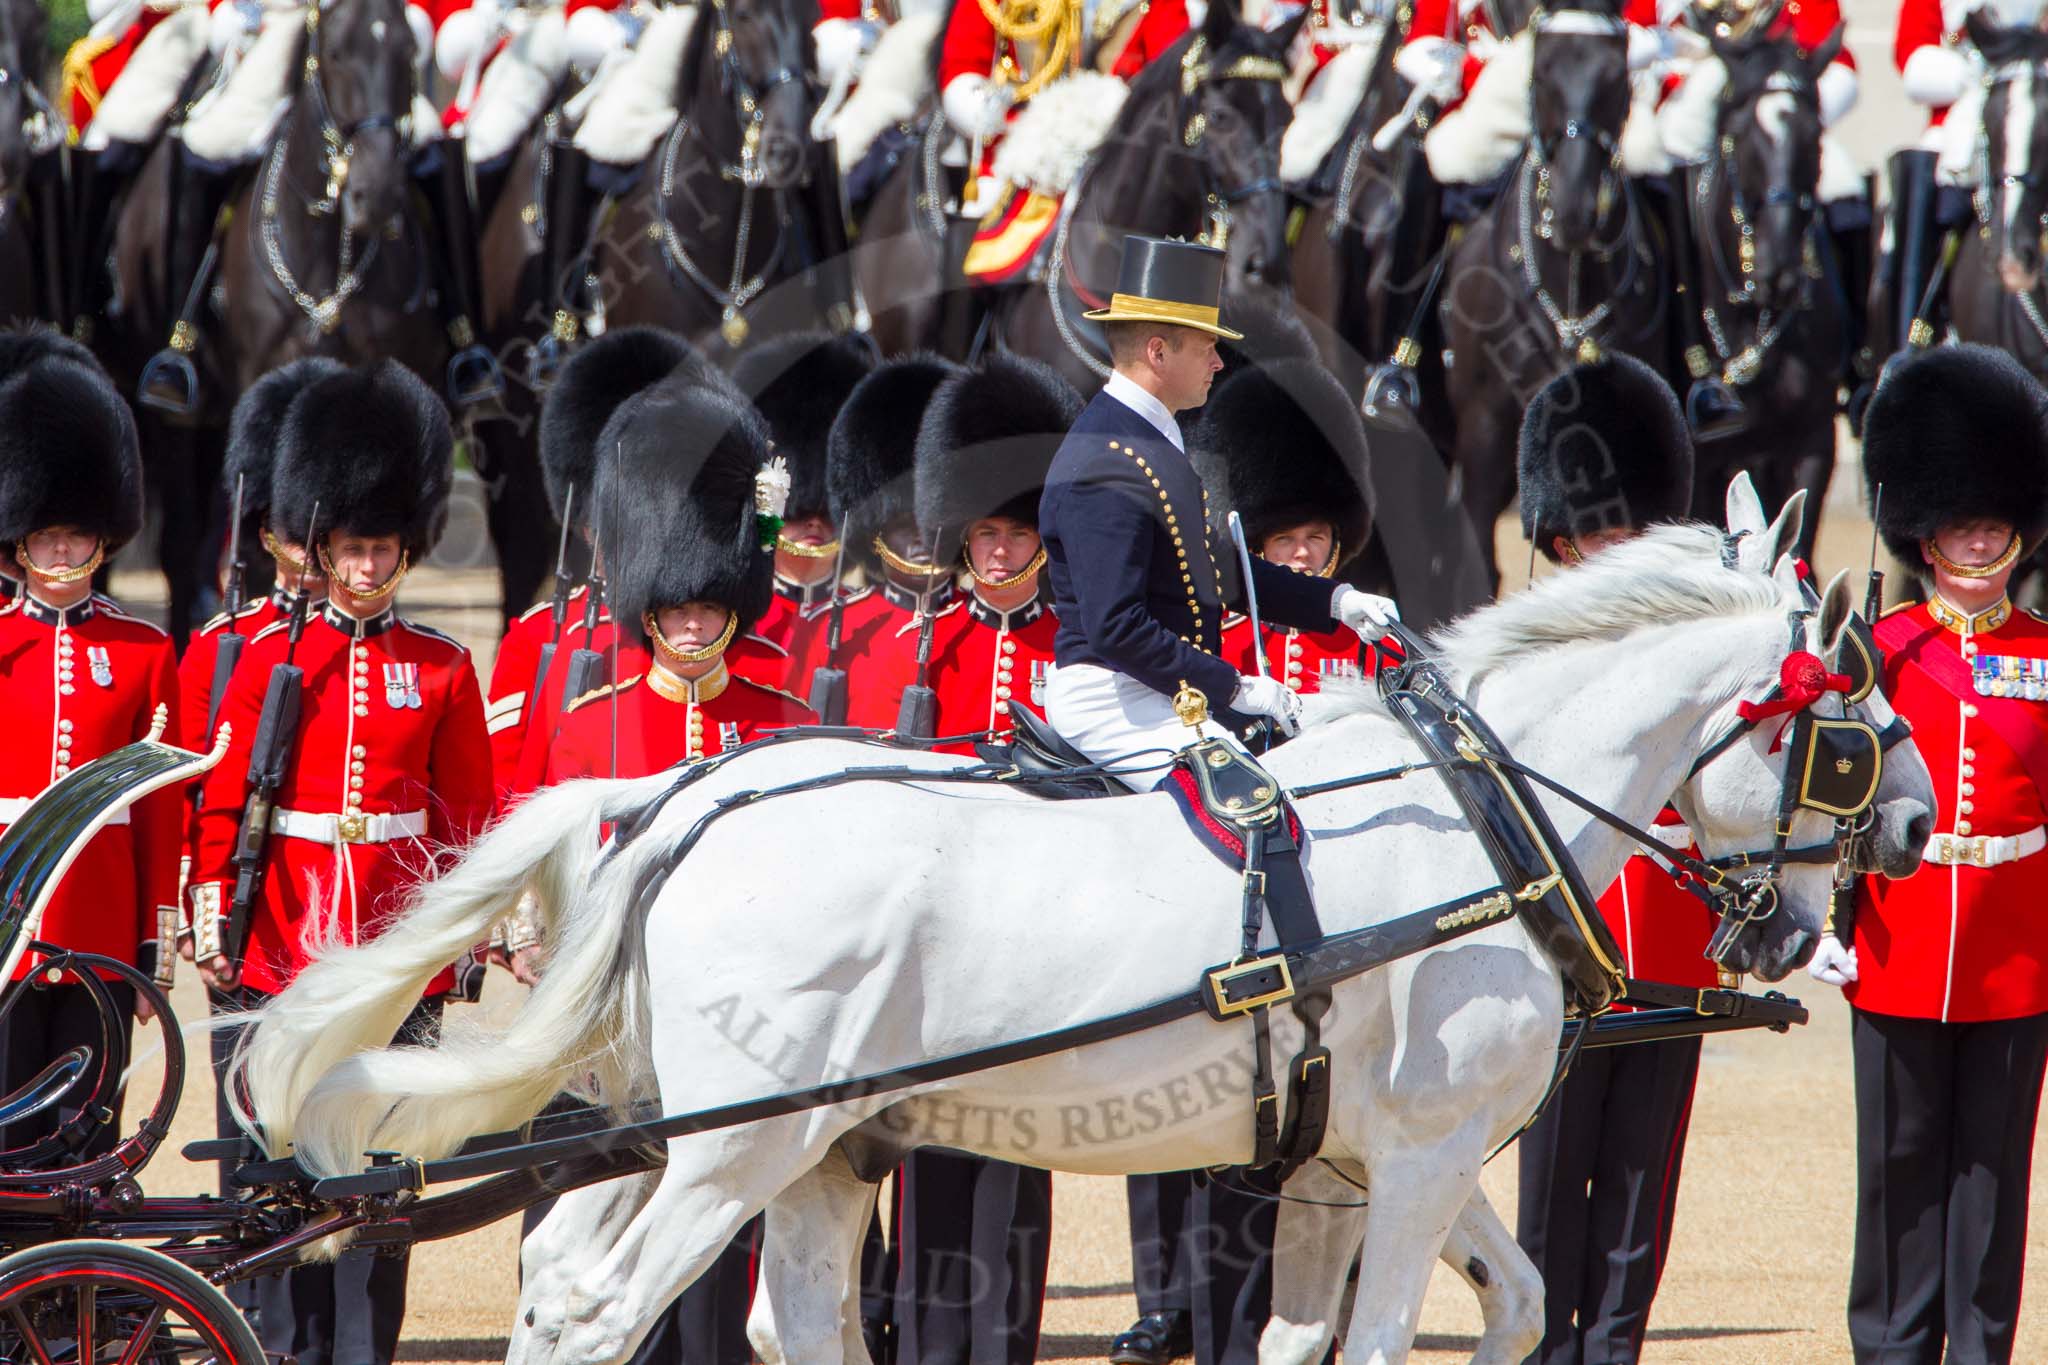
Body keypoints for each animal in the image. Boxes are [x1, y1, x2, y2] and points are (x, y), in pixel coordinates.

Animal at [103, 0, 452, 642]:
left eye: (409, 55)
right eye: (335, 52)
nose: (375, 195)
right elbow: (266, 550)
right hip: (172, 416)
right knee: (181, 543)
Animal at [232, 485, 1925, 1358]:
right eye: (1852, 725)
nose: (1908, 836)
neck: (1474, 814)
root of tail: (680, 801)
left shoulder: (1359, 1162)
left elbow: (1482, 1310)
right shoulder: (1425, 1156)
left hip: (772, 1144)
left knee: (693, 1302)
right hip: (731, 1150)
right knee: (599, 1309)